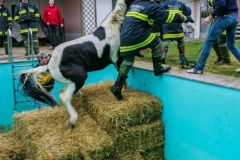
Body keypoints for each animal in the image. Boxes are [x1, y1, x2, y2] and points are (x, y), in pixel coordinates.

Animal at [19, 0, 134, 128]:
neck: (114, 26)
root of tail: (49, 65)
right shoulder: (117, 59)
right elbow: (122, 75)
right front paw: (121, 93)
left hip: (72, 81)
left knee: (66, 94)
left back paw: (80, 97)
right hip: (80, 77)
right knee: (65, 97)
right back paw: (72, 120)